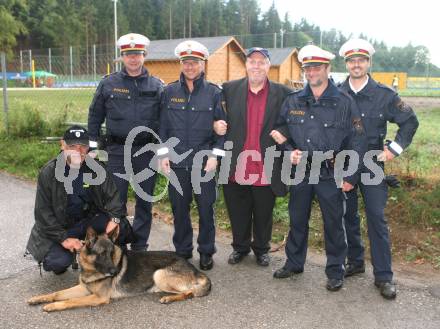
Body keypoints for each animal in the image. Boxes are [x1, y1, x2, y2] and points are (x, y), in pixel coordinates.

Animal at [27, 227, 211, 312]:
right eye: (102, 254)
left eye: (111, 253)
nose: (115, 272)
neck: (92, 270)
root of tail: (195, 269)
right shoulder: (83, 288)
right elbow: (57, 293)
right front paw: (38, 298)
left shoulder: (98, 297)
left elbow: (70, 301)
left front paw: (53, 306)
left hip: (159, 275)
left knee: (189, 292)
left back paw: (168, 298)